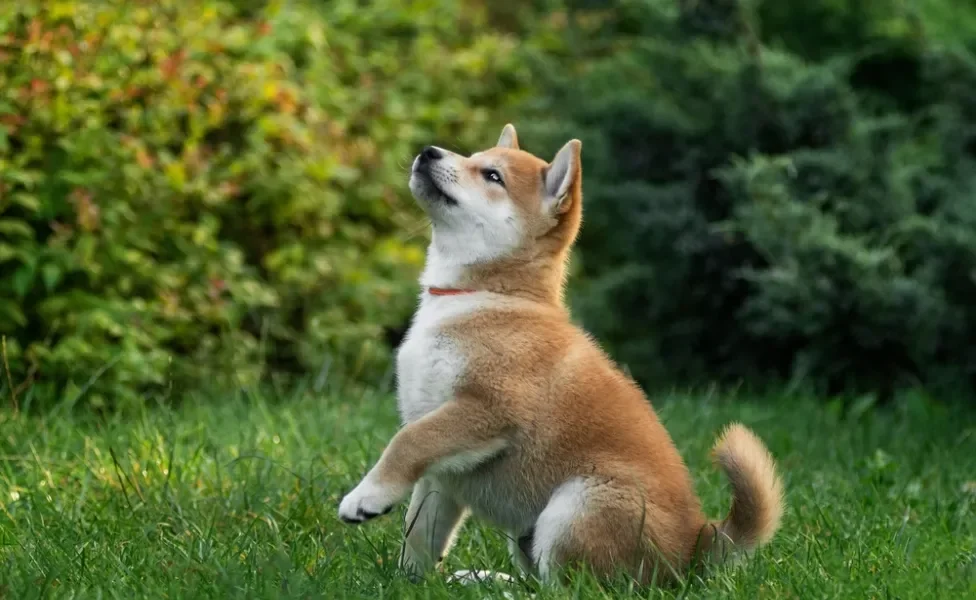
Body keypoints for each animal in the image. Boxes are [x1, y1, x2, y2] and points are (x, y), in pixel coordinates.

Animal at [338, 123, 784, 584]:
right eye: (473, 158)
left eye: (492, 176)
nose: (428, 151)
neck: (489, 297)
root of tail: (694, 547)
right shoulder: (443, 471)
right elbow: (420, 531)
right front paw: (407, 583)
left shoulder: (487, 408)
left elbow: (406, 442)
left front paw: (365, 497)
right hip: (532, 533)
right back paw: (485, 580)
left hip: (579, 505)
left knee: (566, 587)